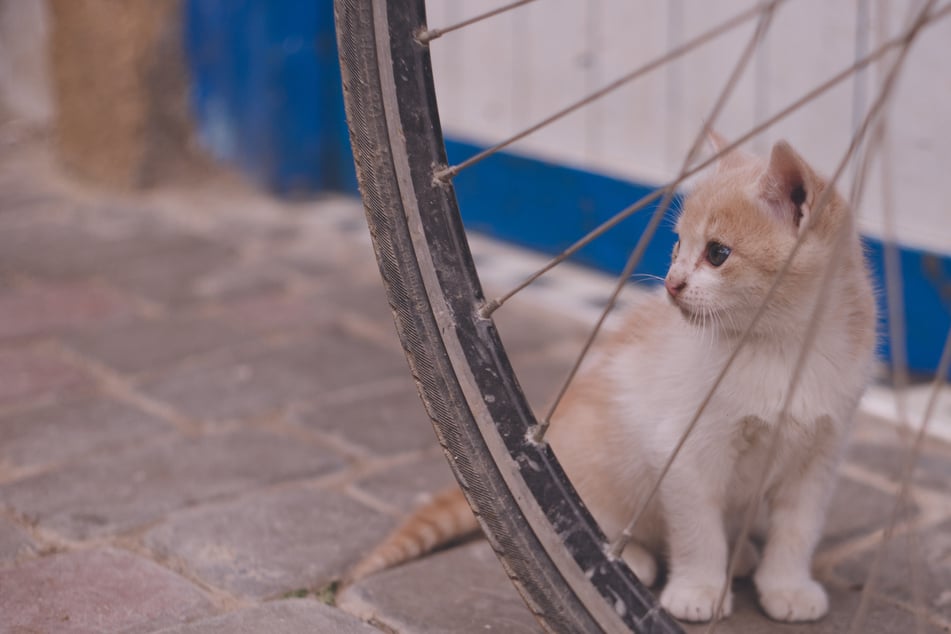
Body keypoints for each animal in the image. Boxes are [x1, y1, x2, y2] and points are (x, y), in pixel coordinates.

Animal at [348, 137, 876, 624]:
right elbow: (698, 528)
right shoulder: (684, 448)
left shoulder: (821, 452)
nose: (672, 284)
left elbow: (798, 527)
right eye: (677, 245)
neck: (782, 348)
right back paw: (635, 559)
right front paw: (699, 588)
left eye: (718, 253)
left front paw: (787, 586)